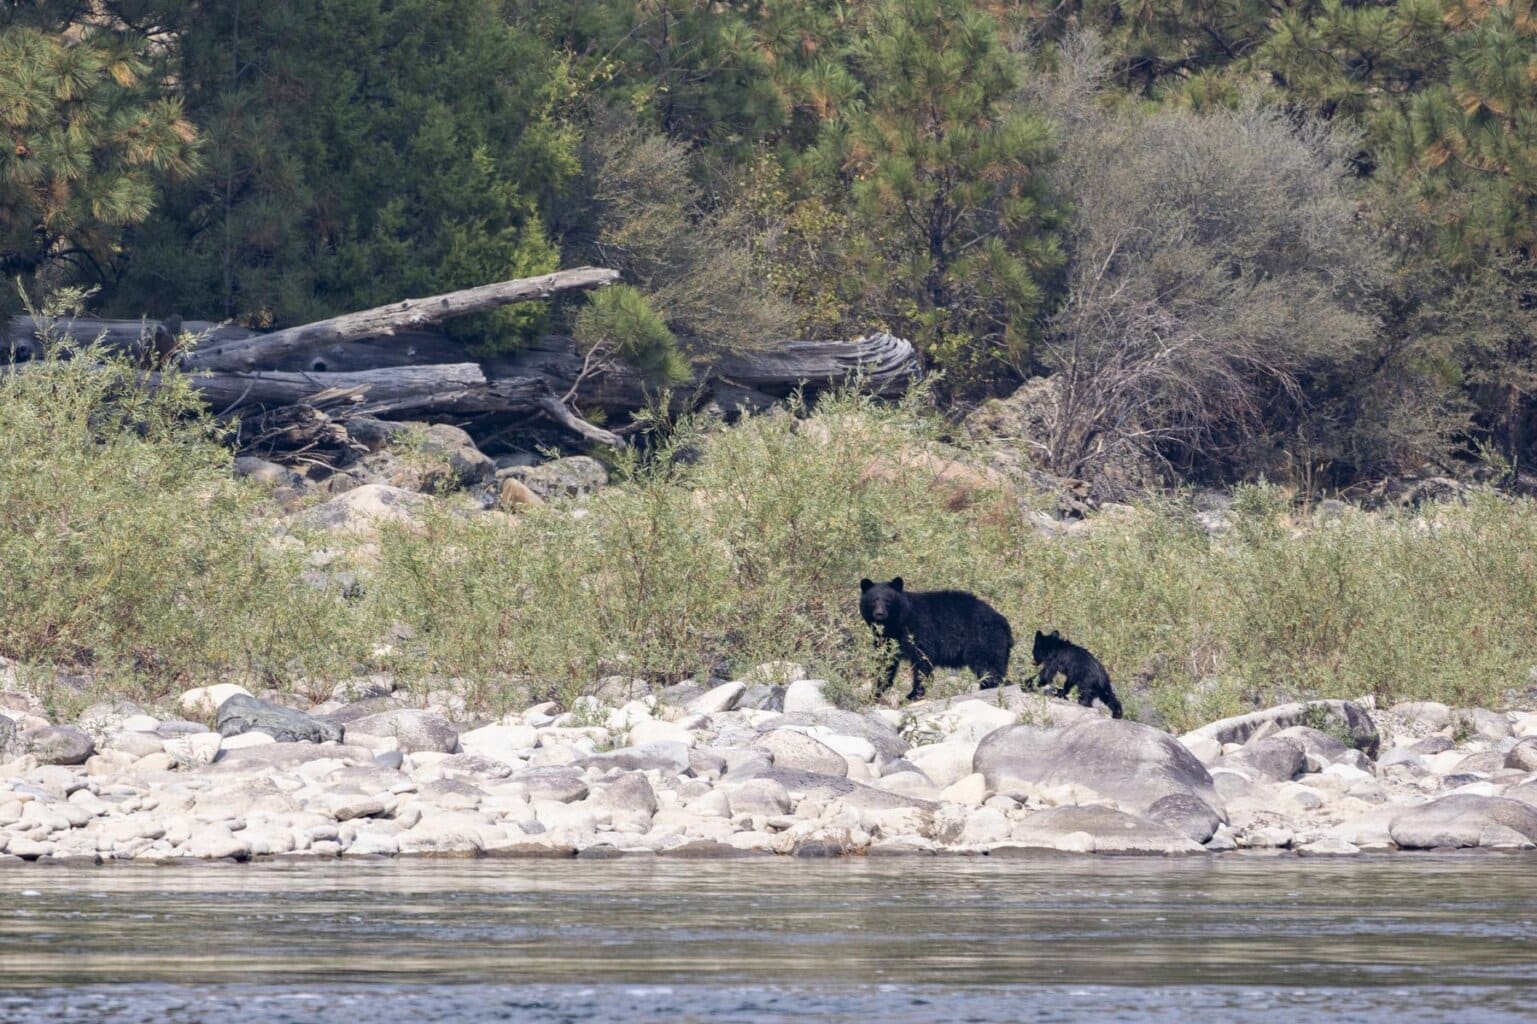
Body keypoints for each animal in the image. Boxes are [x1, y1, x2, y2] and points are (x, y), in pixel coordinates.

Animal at [858, 577, 1013, 702]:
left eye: (888, 600)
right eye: (873, 600)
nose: (879, 614)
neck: (897, 623)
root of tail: (1003, 621)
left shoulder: (920, 629)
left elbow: (923, 659)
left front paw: (913, 694)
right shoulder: (886, 640)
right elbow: (885, 664)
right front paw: (874, 693)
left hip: (984, 638)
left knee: (988, 665)